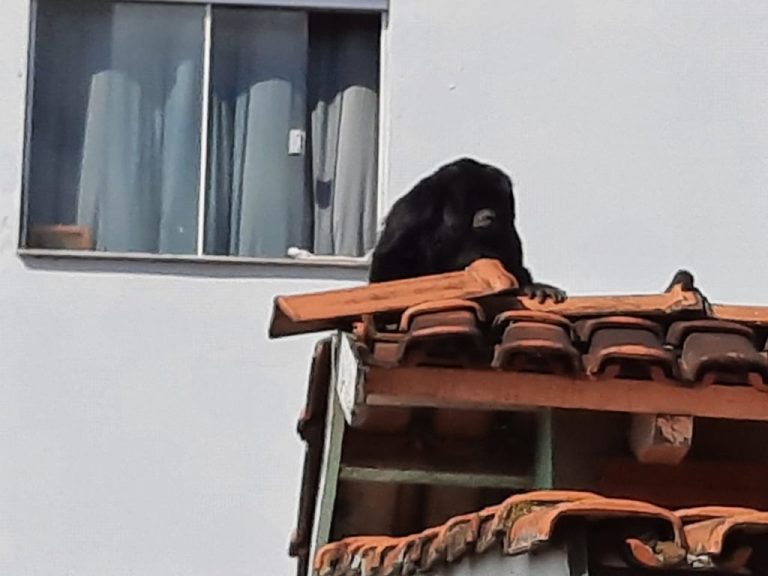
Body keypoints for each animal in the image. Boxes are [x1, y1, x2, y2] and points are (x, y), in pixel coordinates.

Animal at [369, 157, 566, 303]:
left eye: (495, 201)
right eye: (475, 200)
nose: (489, 215)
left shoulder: (507, 223)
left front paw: (532, 287)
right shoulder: (413, 210)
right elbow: (388, 264)